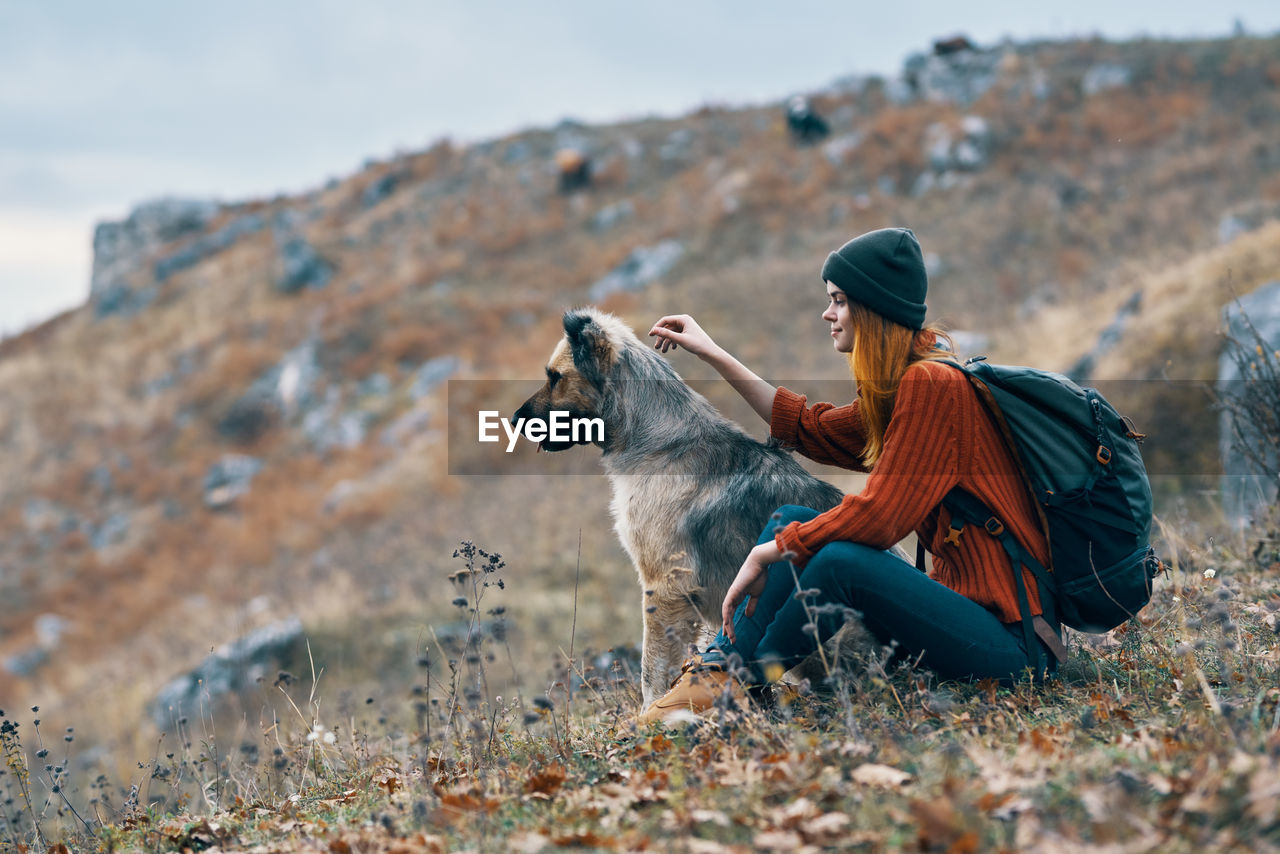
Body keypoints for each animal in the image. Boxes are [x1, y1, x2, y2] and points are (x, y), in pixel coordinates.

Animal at [509, 308, 849, 706]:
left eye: (555, 377)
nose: (514, 421)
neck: (659, 442)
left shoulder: (666, 587)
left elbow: (651, 671)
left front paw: (652, 710)